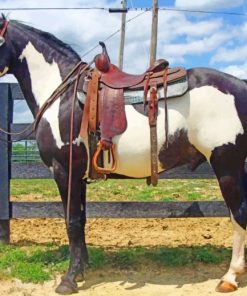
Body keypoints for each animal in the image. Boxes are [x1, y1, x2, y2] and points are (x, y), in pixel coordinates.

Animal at [0, 16, 247, 294]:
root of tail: (240, 86)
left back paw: (230, 277)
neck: (62, 96)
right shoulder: (79, 176)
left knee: (238, 214)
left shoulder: (65, 170)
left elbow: (71, 222)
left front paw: (69, 279)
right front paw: (82, 268)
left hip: (227, 166)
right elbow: (81, 220)